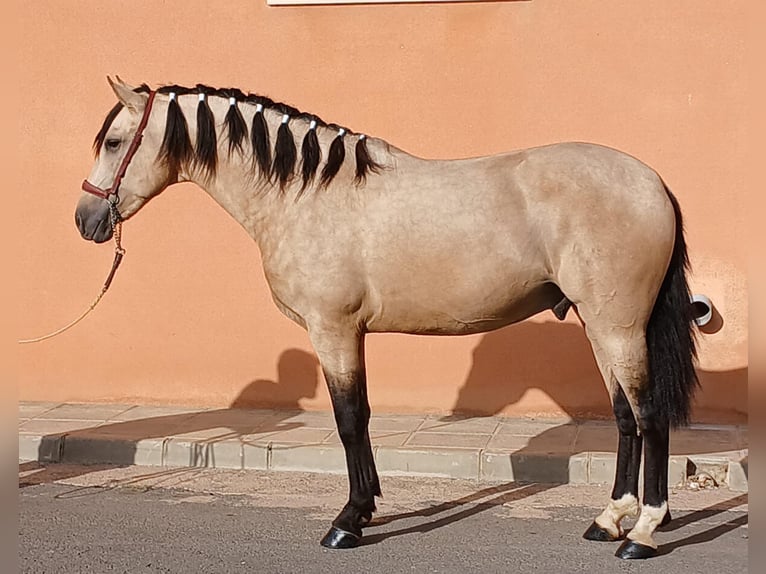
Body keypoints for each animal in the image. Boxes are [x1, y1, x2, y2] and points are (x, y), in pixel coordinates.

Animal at [75, 79, 700, 560]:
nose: (86, 219)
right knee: (624, 418)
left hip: (619, 328)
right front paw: (368, 508)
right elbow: (362, 417)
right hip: (600, 327)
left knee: (649, 417)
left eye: (114, 141)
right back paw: (609, 520)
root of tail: (651, 182)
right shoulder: (349, 333)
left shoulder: (333, 329)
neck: (308, 196)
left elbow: (350, 419)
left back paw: (643, 532)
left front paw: (348, 522)